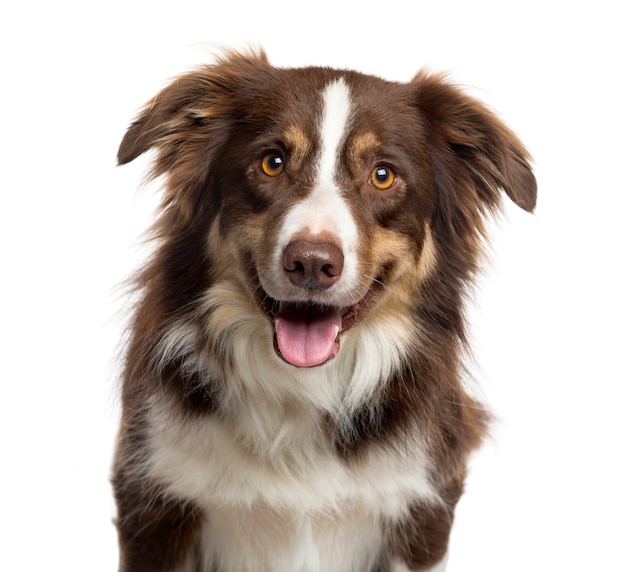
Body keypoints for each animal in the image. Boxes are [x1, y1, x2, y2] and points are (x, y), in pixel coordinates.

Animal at [113, 50, 536, 572]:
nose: (311, 263)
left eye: (382, 175)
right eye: (272, 163)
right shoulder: (154, 501)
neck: (303, 389)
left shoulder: (418, 511)